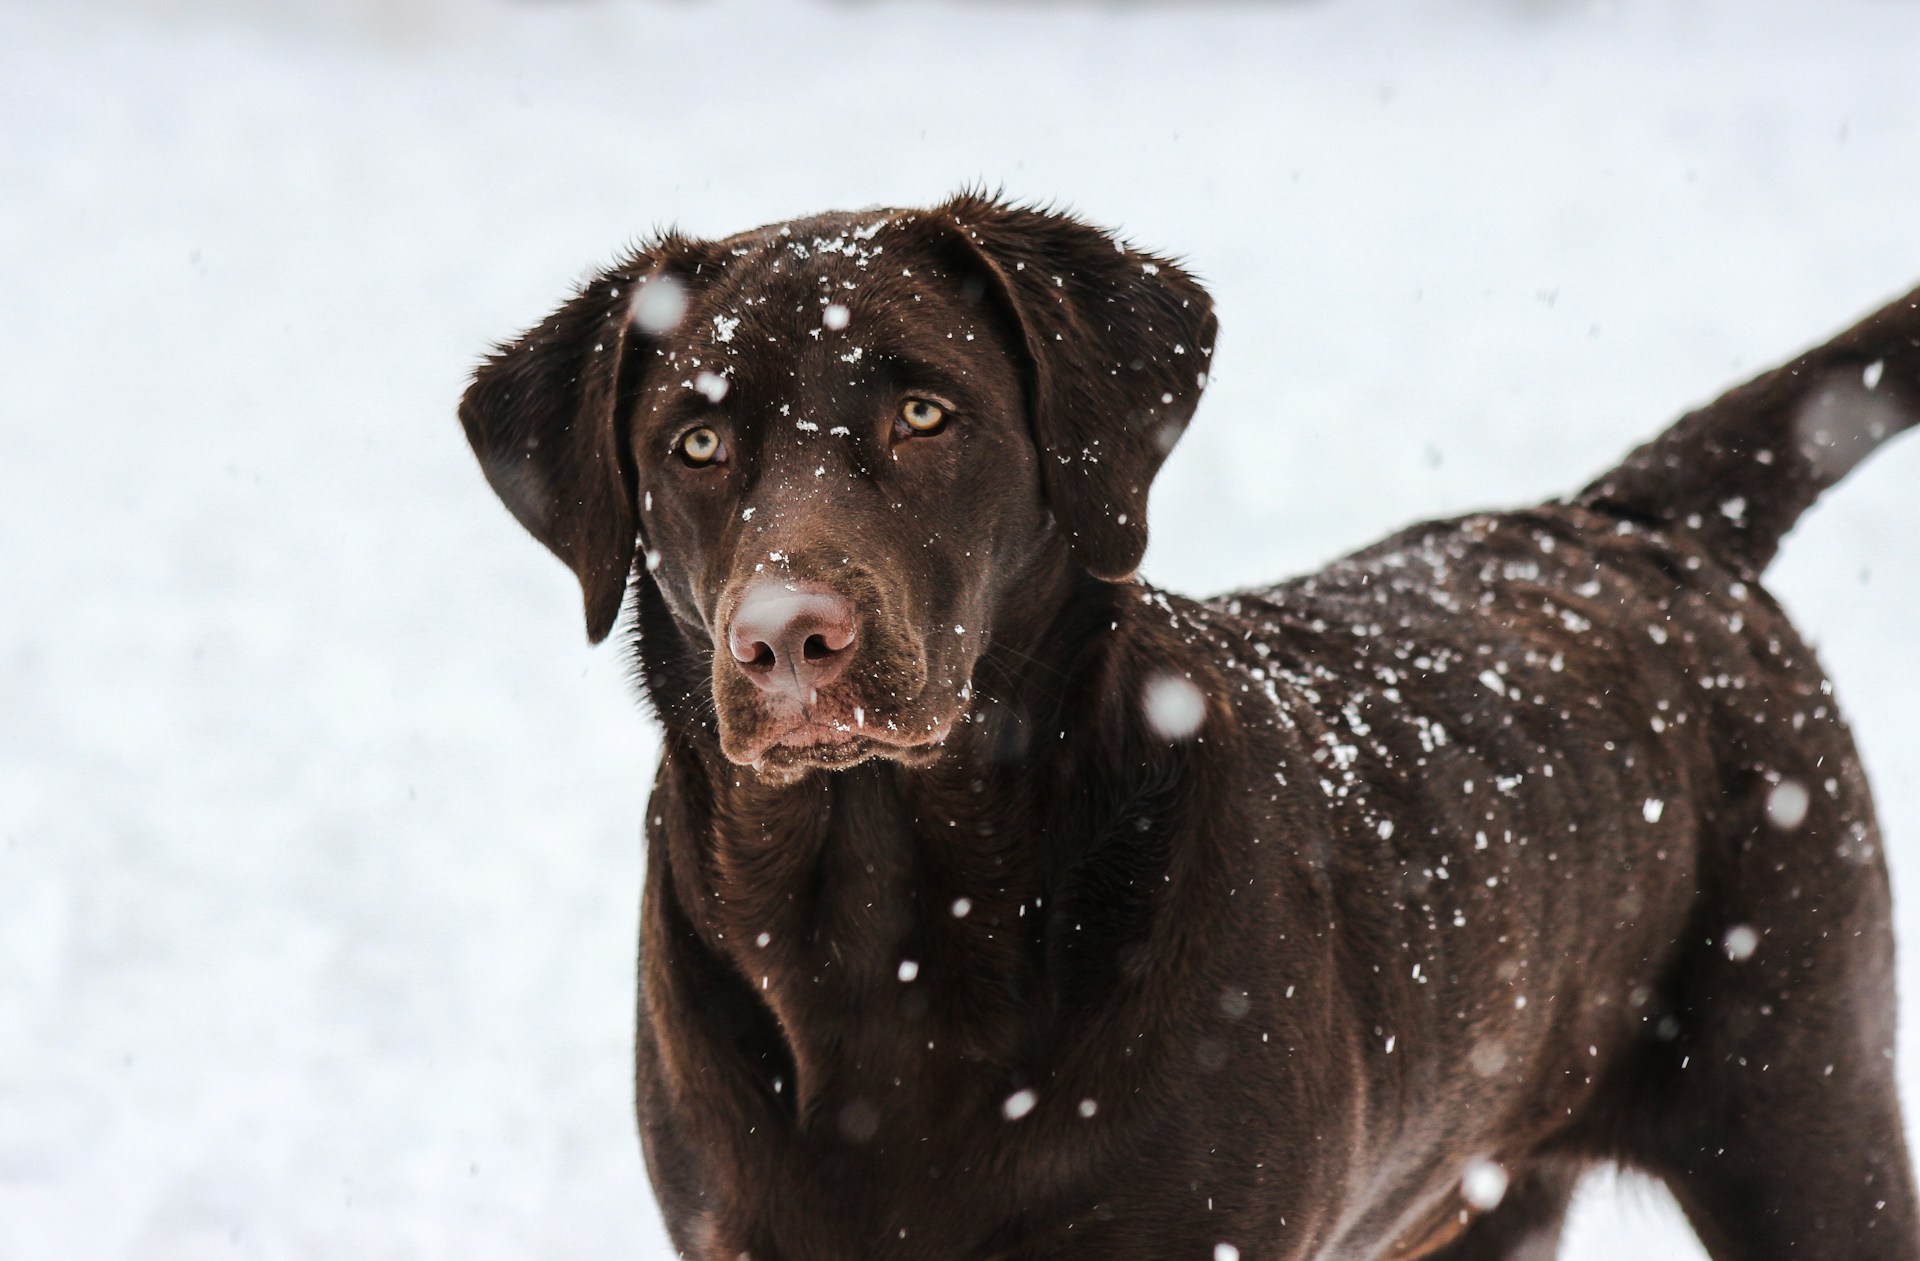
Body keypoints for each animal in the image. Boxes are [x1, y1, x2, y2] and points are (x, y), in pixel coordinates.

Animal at [460, 189, 1920, 1259]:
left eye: (926, 411)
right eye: (697, 446)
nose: (786, 639)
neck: (889, 930)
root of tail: (1631, 524)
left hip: (1807, 1116)